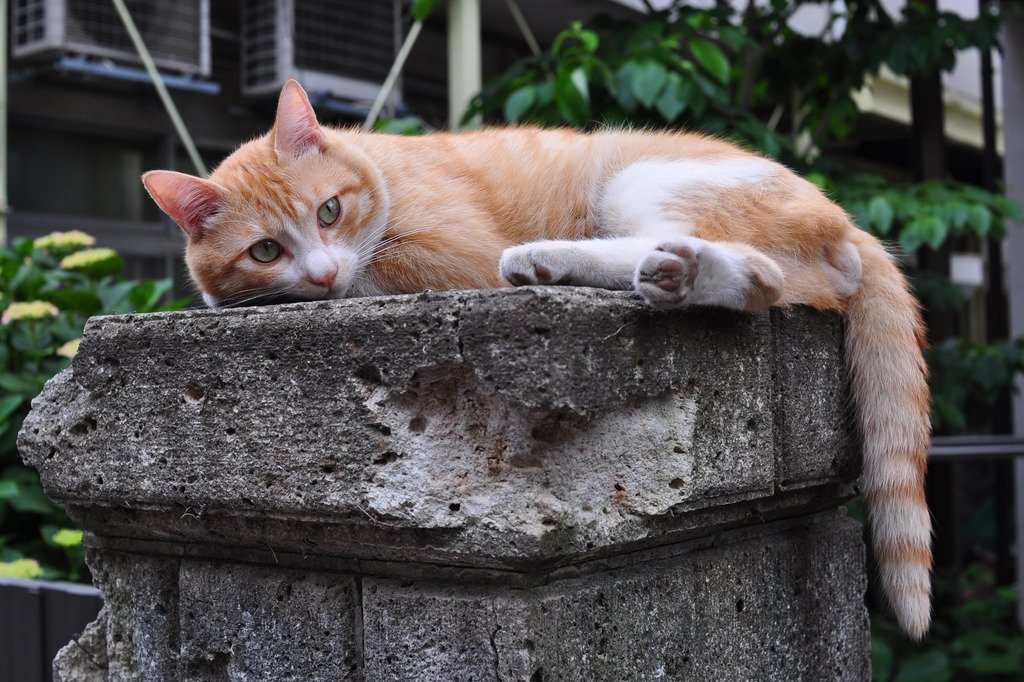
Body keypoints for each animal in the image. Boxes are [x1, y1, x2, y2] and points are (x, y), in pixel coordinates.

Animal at [144, 79, 937, 638]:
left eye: (329, 212)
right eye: (265, 249)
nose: (318, 274)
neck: (377, 164)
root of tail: (848, 224)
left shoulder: (446, 256)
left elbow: (381, 274)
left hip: (641, 179)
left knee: (746, 269)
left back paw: (563, 260)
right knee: (759, 279)